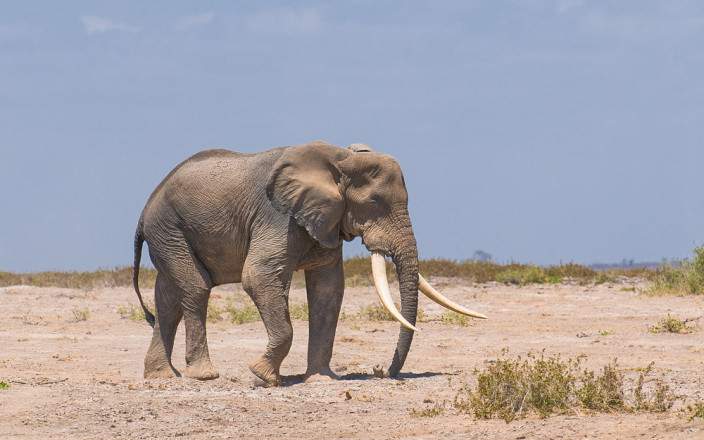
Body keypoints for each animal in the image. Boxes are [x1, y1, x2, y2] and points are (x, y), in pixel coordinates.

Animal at [132, 140, 484, 384]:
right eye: (374, 202)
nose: (383, 371)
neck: (340, 159)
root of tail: (146, 207)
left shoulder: (326, 221)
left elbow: (328, 289)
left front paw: (321, 379)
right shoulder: (278, 217)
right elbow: (258, 276)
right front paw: (263, 376)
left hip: (170, 234)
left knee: (167, 299)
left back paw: (162, 377)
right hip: (169, 227)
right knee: (195, 288)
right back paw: (203, 375)